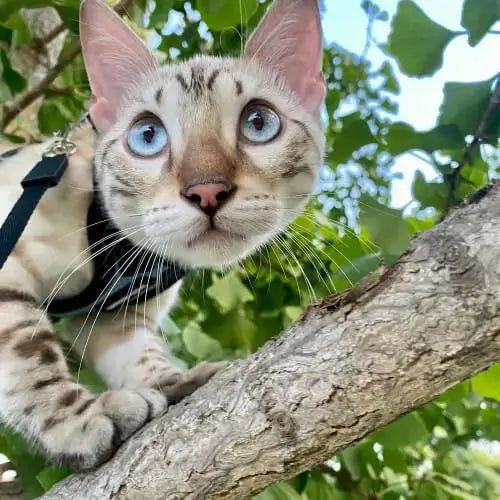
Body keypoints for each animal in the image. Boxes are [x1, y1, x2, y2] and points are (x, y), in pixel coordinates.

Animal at [0, 0, 324, 470]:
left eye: (259, 123)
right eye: (147, 136)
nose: (207, 190)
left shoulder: (117, 315)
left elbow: (144, 357)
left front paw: (176, 383)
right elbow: (30, 359)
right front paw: (81, 422)